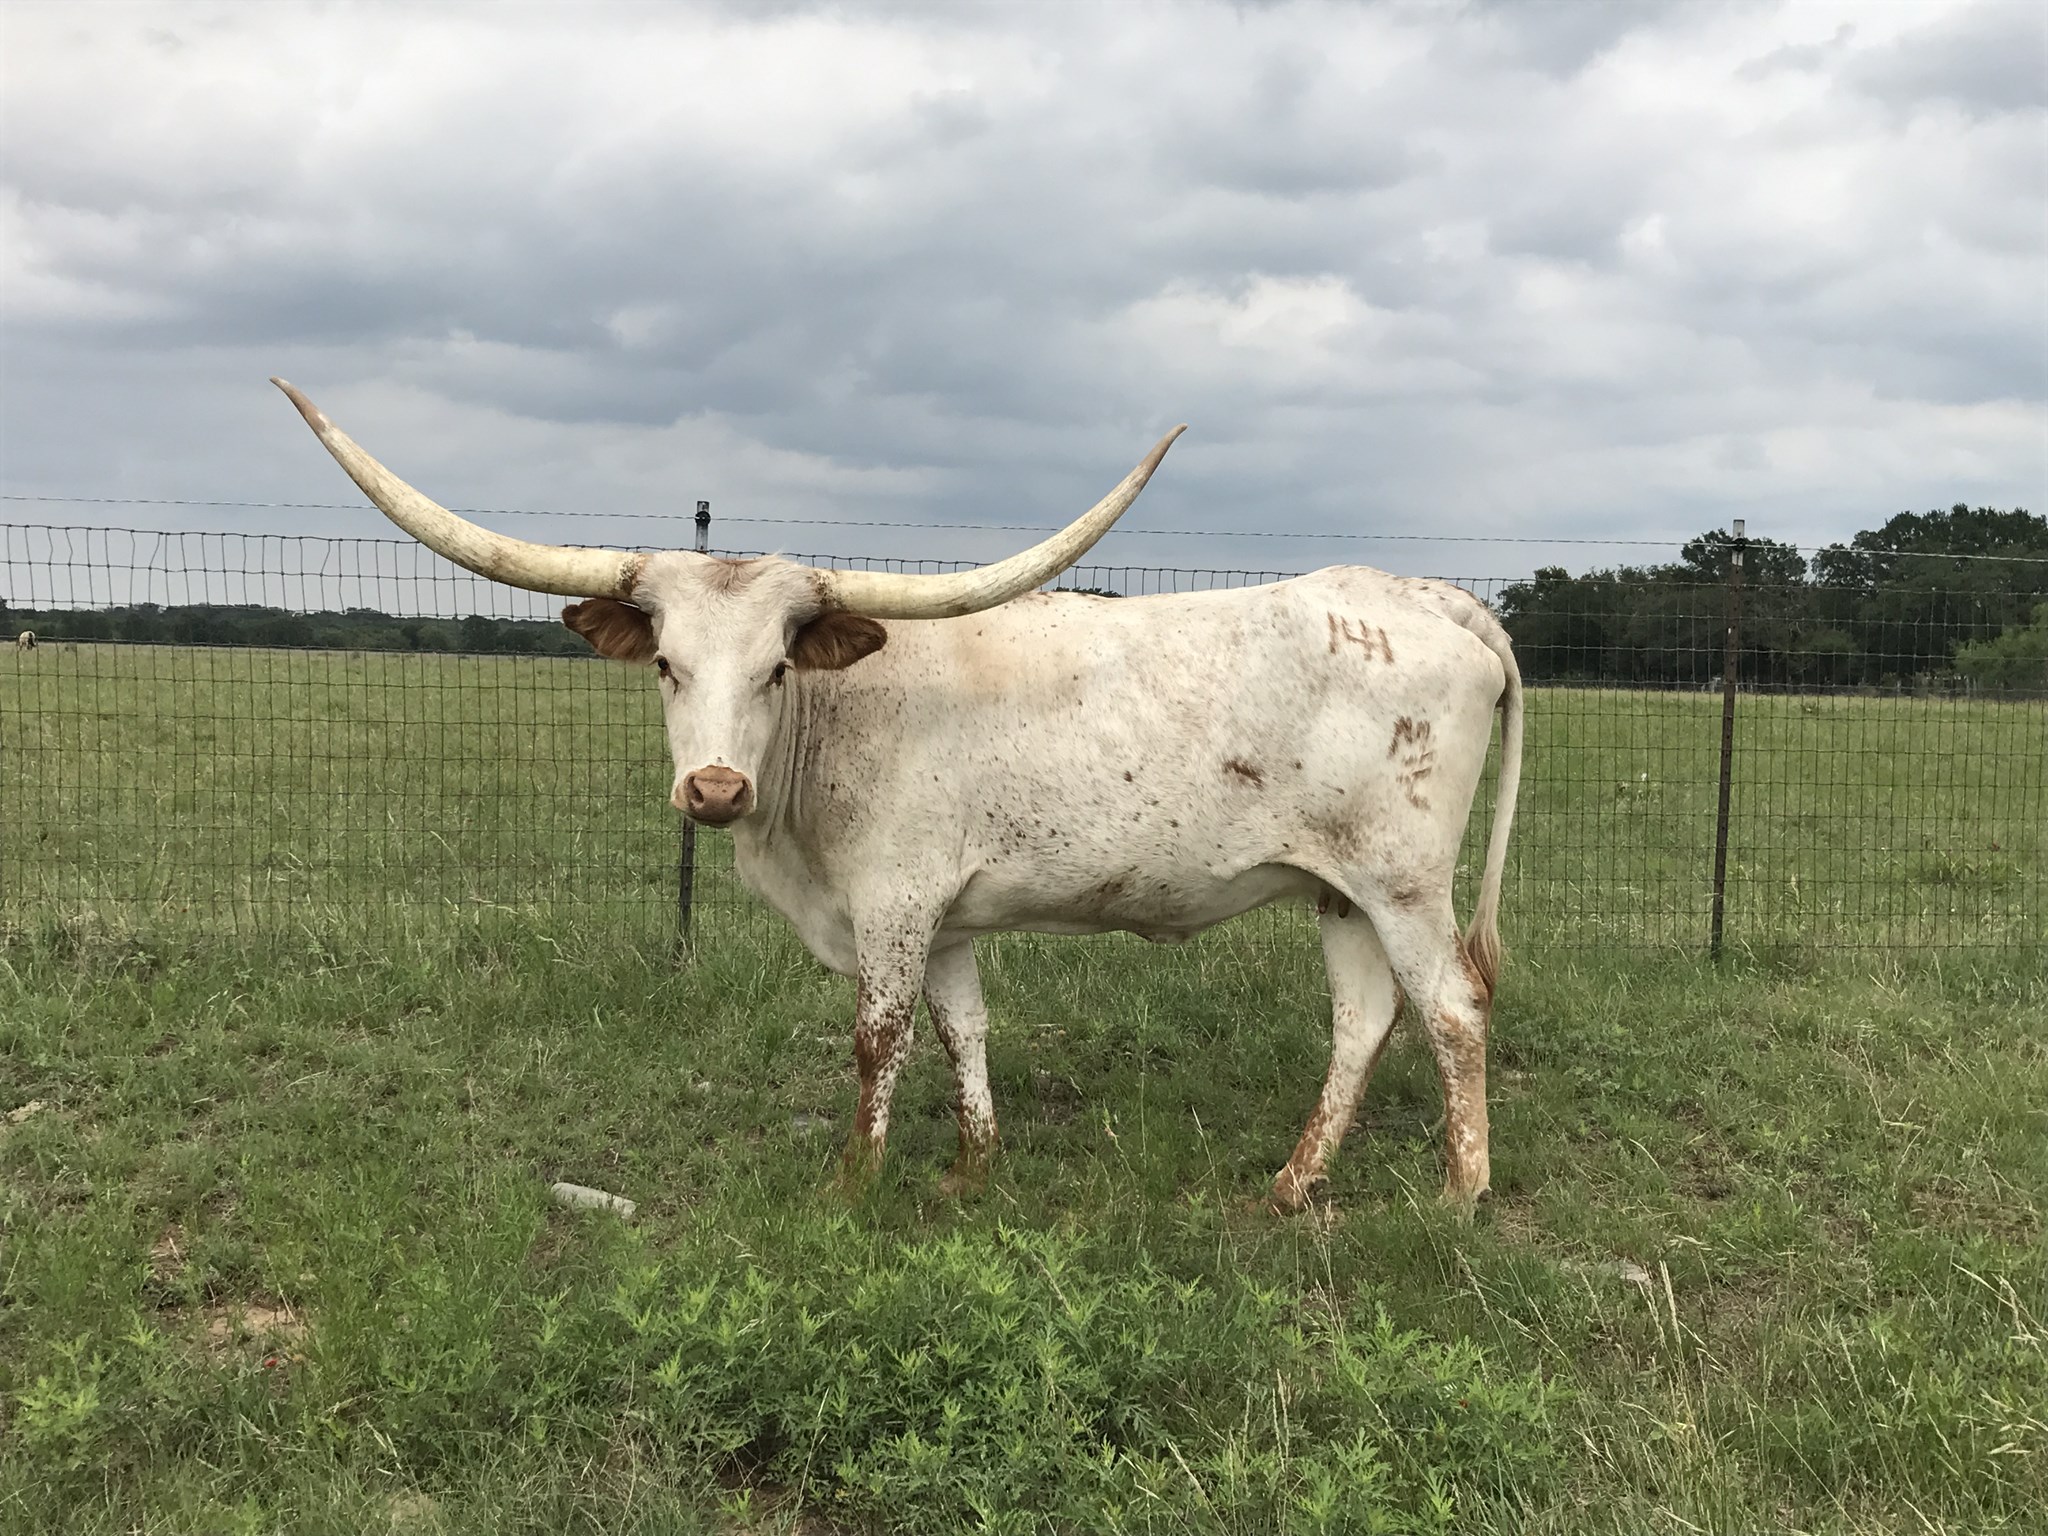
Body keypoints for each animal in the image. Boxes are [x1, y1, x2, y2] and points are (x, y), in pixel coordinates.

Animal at [272, 378, 1523, 1213]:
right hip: (1337, 886)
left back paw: (1458, 1195)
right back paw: (1291, 1183)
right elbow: (963, 1026)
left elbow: (880, 1038)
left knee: (1451, 1010)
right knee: (1363, 1019)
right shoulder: (949, 917)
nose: (714, 788)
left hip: (1403, 881)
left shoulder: (893, 902)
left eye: (777, 669)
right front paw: (974, 1168)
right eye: (666, 665)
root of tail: (1423, 595)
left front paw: (853, 1183)